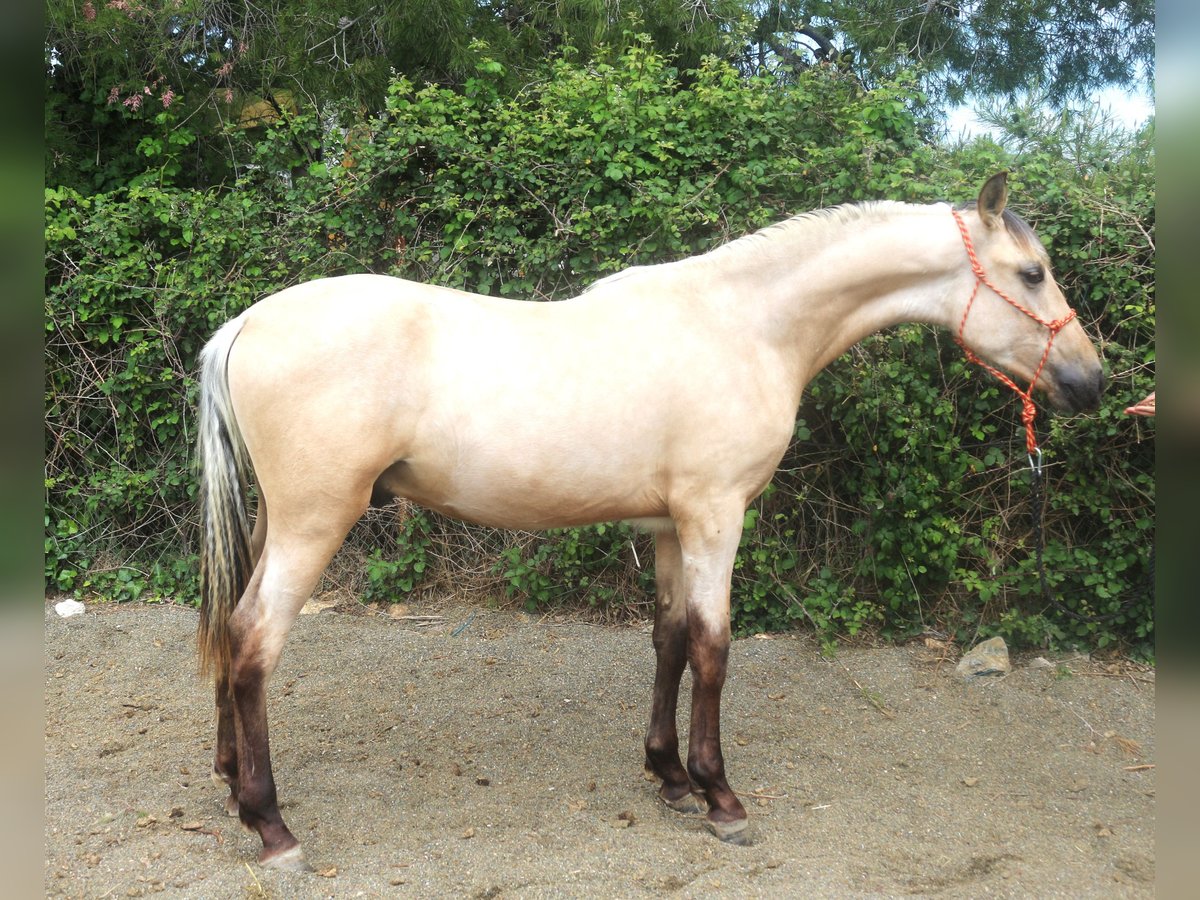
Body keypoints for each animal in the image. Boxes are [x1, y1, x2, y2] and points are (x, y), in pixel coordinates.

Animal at [196, 172, 1104, 868]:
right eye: (1031, 273)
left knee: (230, 631)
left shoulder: (669, 526)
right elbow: (713, 646)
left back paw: (229, 778)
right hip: (316, 522)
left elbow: (669, 639)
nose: (1091, 381)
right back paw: (271, 825)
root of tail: (247, 322)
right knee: (254, 640)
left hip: (276, 522)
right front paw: (722, 797)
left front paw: (670, 777)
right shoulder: (714, 515)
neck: (746, 326)